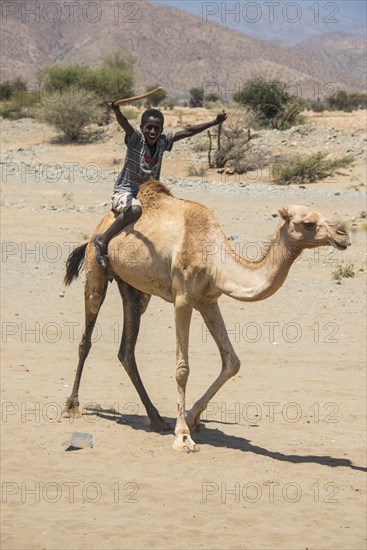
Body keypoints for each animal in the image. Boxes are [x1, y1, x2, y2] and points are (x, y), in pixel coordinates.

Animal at [62, 180, 350, 452]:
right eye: (308, 223)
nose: (343, 234)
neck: (214, 259)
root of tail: (98, 228)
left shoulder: (208, 300)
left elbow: (232, 361)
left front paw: (192, 417)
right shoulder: (183, 299)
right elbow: (182, 369)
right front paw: (183, 436)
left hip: (133, 288)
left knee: (126, 350)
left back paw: (156, 418)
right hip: (96, 272)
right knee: (87, 336)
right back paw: (71, 406)